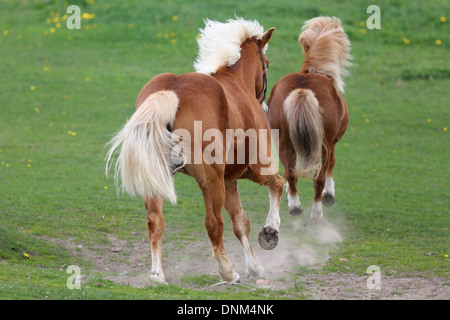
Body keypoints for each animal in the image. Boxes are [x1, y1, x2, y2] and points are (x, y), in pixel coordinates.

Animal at [105, 17, 282, 284]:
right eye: (267, 64)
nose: (264, 106)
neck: (235, 82)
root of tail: (172, 89)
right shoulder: (256, 169)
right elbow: (278, 186)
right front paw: (270, 231)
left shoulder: (229, 179)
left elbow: (241, 222)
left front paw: (255, 266)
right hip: (211, 179)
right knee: (213, 223)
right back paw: (227, 271)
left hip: (158, 176)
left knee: (155, 222)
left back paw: (158, 273)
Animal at [268, 16, 352, 222]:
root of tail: (303, 88)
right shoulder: (332, 143)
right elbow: (332, 165)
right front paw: (329, 195)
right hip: (323, 145)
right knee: (319, 178)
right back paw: (316, 211)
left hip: (284, 141)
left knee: (290, 173)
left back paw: (294, 205)